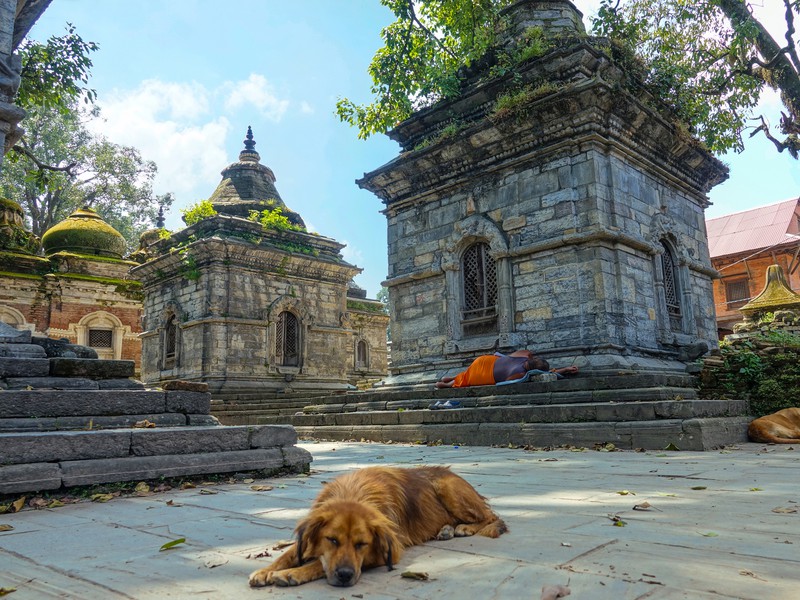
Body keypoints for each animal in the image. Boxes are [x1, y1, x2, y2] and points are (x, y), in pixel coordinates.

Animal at [247, 466, 506, 588]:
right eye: (332, 540)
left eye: (362, 544)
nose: (345, 576)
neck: (353, 493)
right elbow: (290, 553)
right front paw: (266, 570)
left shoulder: (389, 551)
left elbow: (319, 564)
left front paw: (292, 573)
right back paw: (446, 530)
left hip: (447, 488)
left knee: (491, 516)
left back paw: (465, 528)